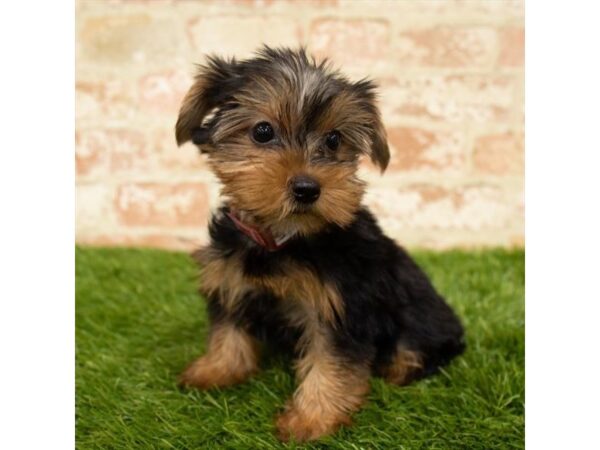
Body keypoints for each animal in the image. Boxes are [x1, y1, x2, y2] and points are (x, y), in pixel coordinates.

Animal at [173, 47, 464, 442]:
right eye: (262, 131)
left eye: (334, 140)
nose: (307, 188)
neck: (282, 237)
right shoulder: (230, 278)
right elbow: (227, 328)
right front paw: (215, 370)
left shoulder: (342, 304)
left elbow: (331, 362)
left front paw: (312, 419)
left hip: (423, 316)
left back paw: (400, 369)